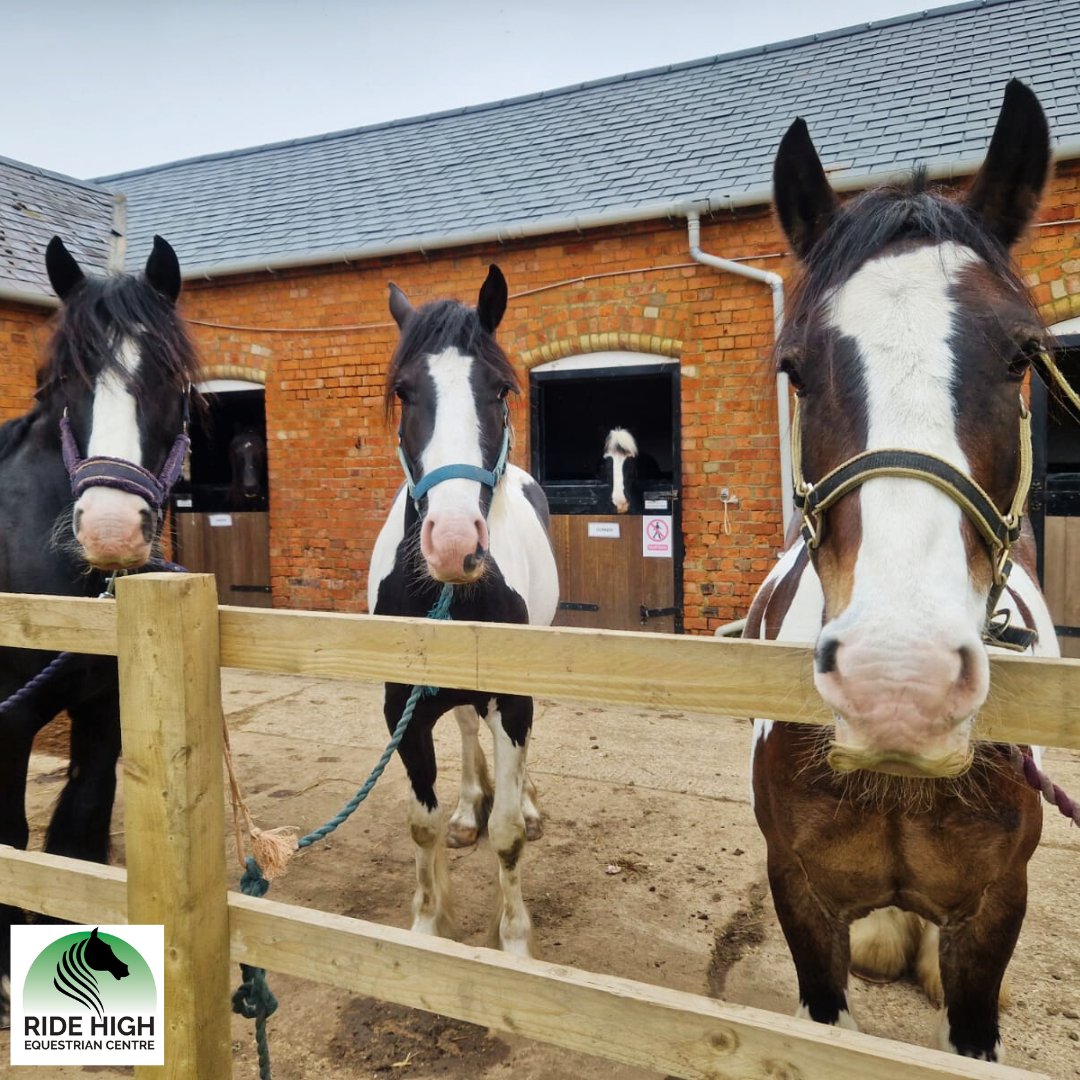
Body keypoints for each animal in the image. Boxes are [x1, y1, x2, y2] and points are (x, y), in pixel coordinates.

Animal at [0, 232, 201, 1015]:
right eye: (62, 380)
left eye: (170, 376)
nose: (111, 530)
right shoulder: (8, 721)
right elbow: (13, 834)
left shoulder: (105, 711)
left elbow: (78, 828)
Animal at [369, 265, 561, 959]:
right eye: (404, 391)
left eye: (501, 389)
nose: (454, 544)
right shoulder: (402, 705)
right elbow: (420, 825)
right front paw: (428, 928)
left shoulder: (513, 696)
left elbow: (506, 835)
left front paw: (515, 944)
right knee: (466, 726)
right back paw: (466, 806)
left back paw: (524, 800)